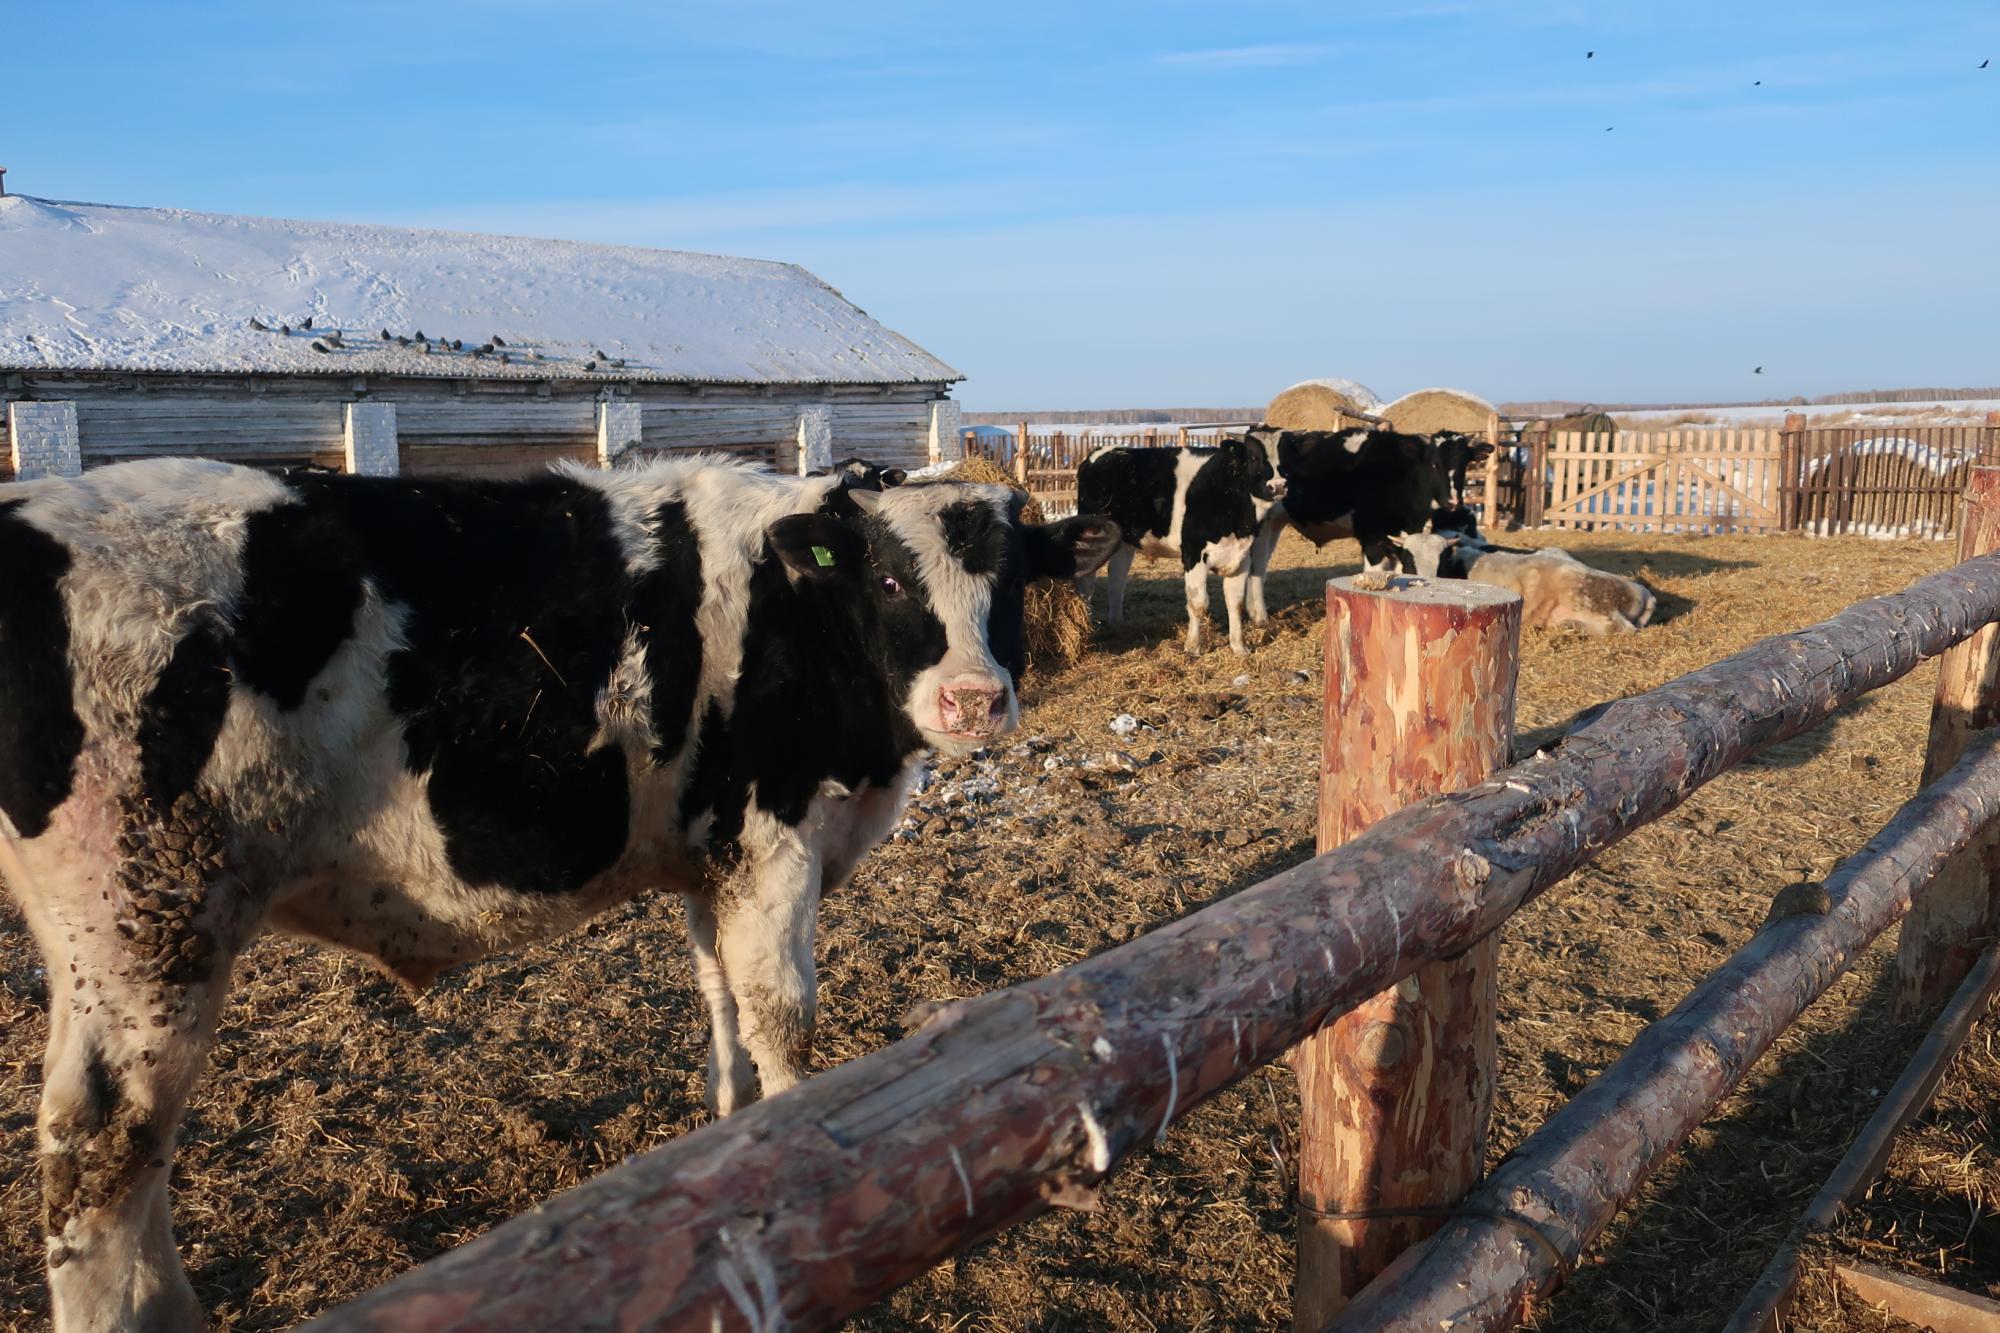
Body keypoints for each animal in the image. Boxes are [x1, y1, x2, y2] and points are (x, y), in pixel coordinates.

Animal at [0, 452, 1120, 1320]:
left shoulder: (710, 855)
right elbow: (779, 1015)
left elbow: (719, 998)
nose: (973, 700)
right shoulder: (773, 842)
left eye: (1015, 581)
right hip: (149, 924)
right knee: (100, 1148)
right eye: (888, 583)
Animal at [1080, 434, 1280, 652]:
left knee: (1117, 577)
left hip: (1124, 542)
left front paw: (1239, 648)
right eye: (1253, 457)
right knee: (1087, 582)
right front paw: (1193, 647)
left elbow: (1235, 603)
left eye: (1286, 455)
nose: (1278, 486)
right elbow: (1198, 603)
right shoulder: (1193, 553)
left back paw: (1117, 624)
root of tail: (1103, 451)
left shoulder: (1241, 556)